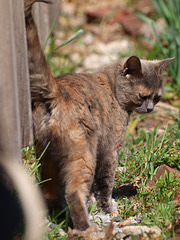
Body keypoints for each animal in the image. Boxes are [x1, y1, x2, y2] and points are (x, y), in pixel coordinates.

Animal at [24, 0, 174, 232]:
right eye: (143, 96)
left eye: (157, 98)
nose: (149, 109)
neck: (111, 87)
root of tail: (56, 90)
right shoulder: (110, 150)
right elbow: (105, 181)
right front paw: (106, 206)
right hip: (83, 154)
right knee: (73, 191)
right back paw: (86, 227)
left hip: (47, 156)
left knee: (49, 191)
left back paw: (60, 216)